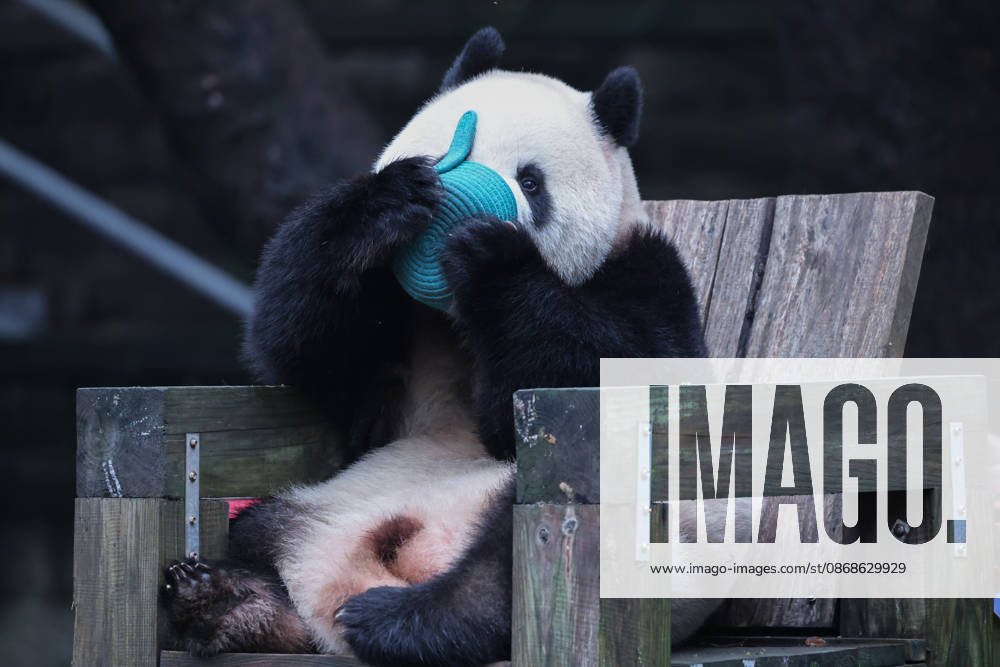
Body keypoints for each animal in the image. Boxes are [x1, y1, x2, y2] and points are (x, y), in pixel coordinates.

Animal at [161, 27, 711, 666]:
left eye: (530, 181)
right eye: (453, 147)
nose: (460, 199)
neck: (452, 323)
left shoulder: (645, 271)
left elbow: (607, 372)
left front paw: (491, 256)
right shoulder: (387, 322)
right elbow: (307, 351)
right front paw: (386, 204)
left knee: (525, 544)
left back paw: (408, 621)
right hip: (321, 502)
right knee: (256, 533)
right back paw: (221, 600)